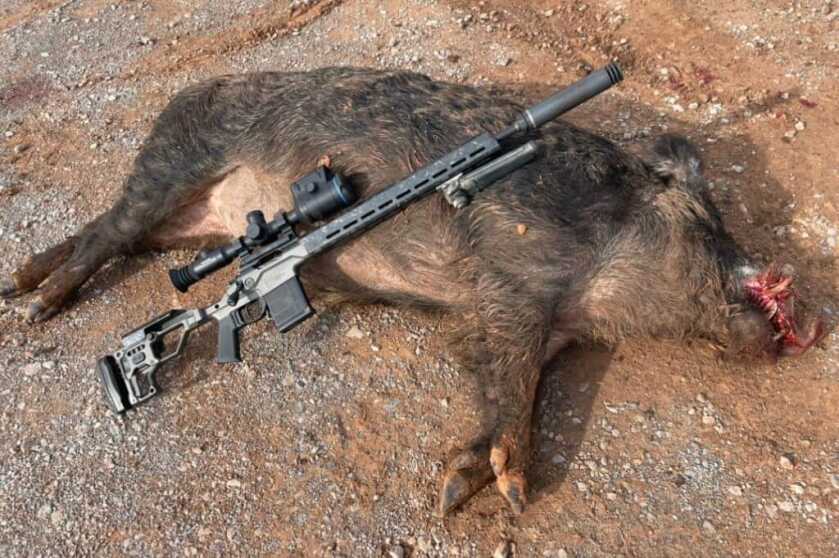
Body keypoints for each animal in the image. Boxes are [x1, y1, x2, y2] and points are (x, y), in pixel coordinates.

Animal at [0, 67, 823, 515]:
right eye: (708, 219)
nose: (812, 312)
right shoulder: (511, 273)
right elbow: (515, 383)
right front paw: (502, 494)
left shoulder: (525, 320)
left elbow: (504, 381)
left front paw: (461, 489)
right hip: (172, 161)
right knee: (107, 233)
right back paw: (36, 309)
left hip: (178, 222)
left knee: (104, 232)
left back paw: (20, 281)